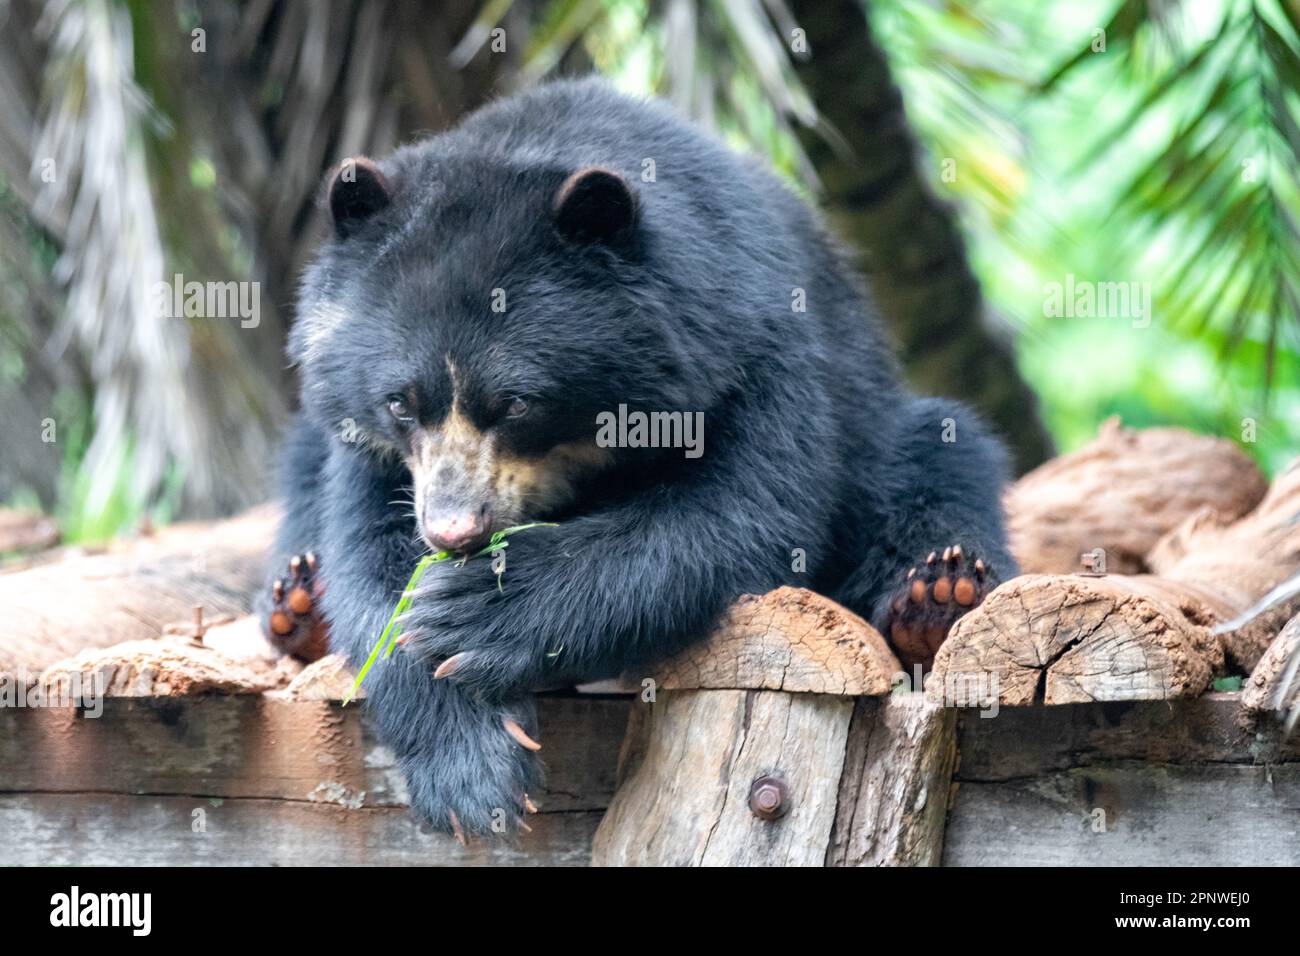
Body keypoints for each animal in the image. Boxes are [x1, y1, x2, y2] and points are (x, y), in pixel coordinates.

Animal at [259, 77, 1016, 838]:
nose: (452, 530)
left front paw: (473, 609)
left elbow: (737, 510)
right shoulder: (374, 448)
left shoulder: (751, 343)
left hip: (886, 429)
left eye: (516, 404)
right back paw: (298, 605)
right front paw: (473, 770)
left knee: (938, 457)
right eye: (400, 402)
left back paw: (935, 597)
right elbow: (372, 555)